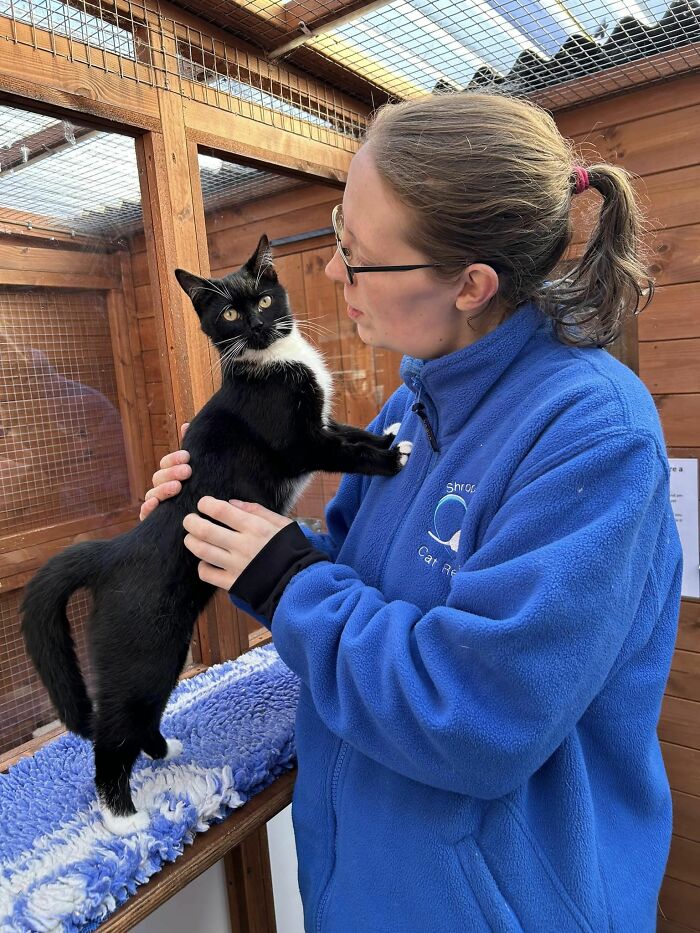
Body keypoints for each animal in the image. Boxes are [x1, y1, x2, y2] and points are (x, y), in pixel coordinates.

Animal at [20, 237, 410, 832]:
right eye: (228, 314)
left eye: (265, 299)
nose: (256, 325)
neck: (273, 362)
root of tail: (115, 551)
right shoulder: (298, 443)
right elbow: (344, 451)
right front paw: (389, 460)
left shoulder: (320, 424)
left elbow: (348, 432)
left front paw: (386, 434)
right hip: (143, 651)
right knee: (113, 731)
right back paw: (120, 815)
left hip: (164, 648)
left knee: (137, 715)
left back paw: (164, 751)